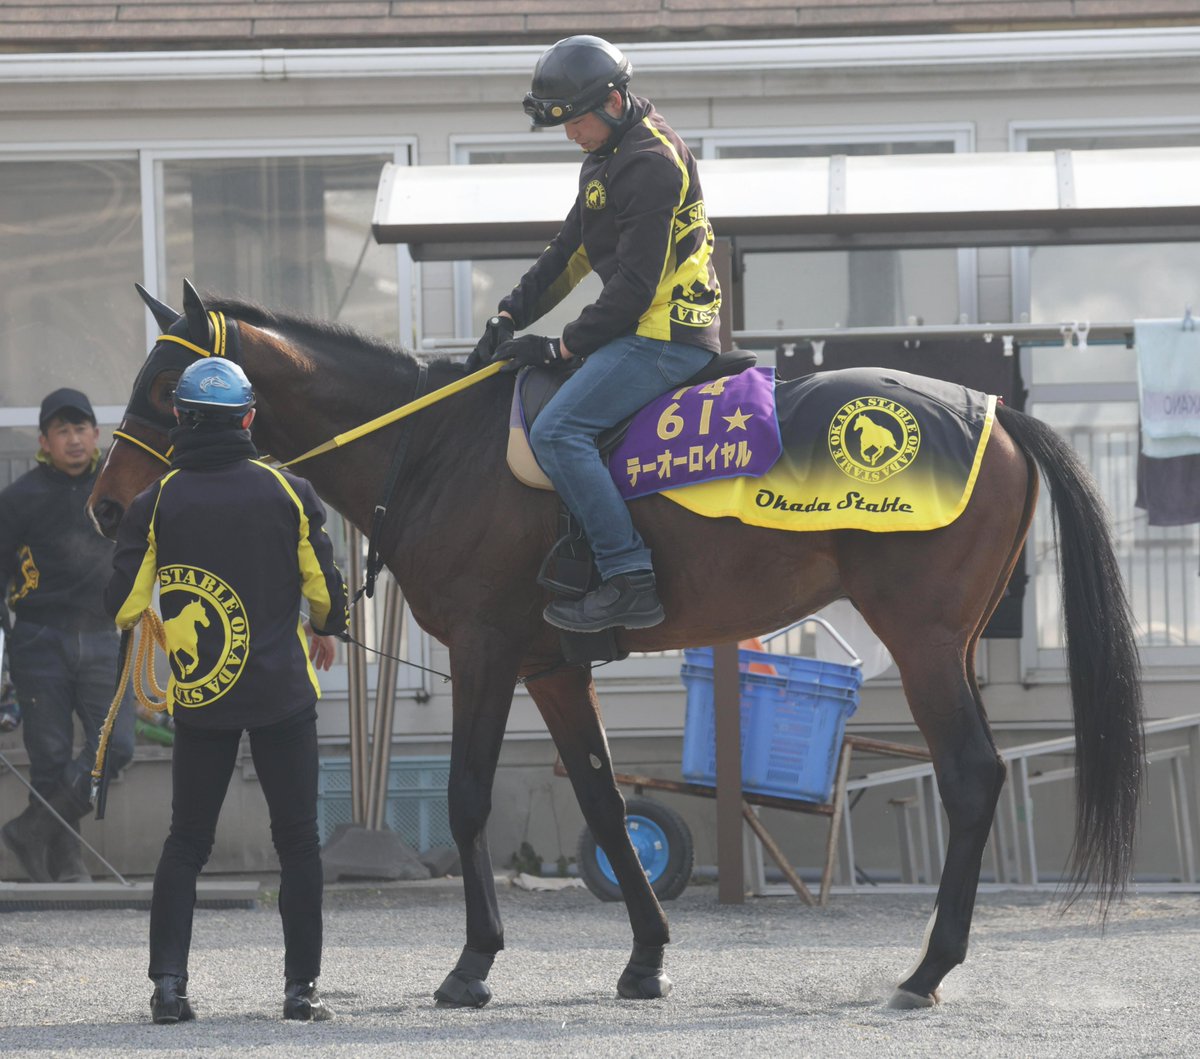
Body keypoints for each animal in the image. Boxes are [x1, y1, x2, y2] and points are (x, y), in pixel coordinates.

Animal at [90, 280, 1143, 1010]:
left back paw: (927, 968)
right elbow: (600, 800)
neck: (438, 447)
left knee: (969, 776)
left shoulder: (483, 651)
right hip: (951, 644)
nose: (105, 507)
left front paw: (472, 963)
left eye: (164, 389)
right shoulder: (552, 667)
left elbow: (469, 798)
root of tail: (997, 414)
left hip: (921, 639)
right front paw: (645, 956)